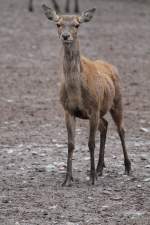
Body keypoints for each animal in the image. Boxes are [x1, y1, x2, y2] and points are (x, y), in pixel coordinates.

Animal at [42, 4, 131, 186]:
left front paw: (92, 179)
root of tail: (111, 66)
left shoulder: (93, 108)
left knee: (121, 129)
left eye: (77, 25)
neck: (76, 92)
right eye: (58, 24)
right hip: (102, 109)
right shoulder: (68, 110)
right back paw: (100, 167)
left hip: (117, 100)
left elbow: (91, 143)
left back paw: (127, 167)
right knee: (105, 125)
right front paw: (67, 179)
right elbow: (71, 144)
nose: (65, 36)